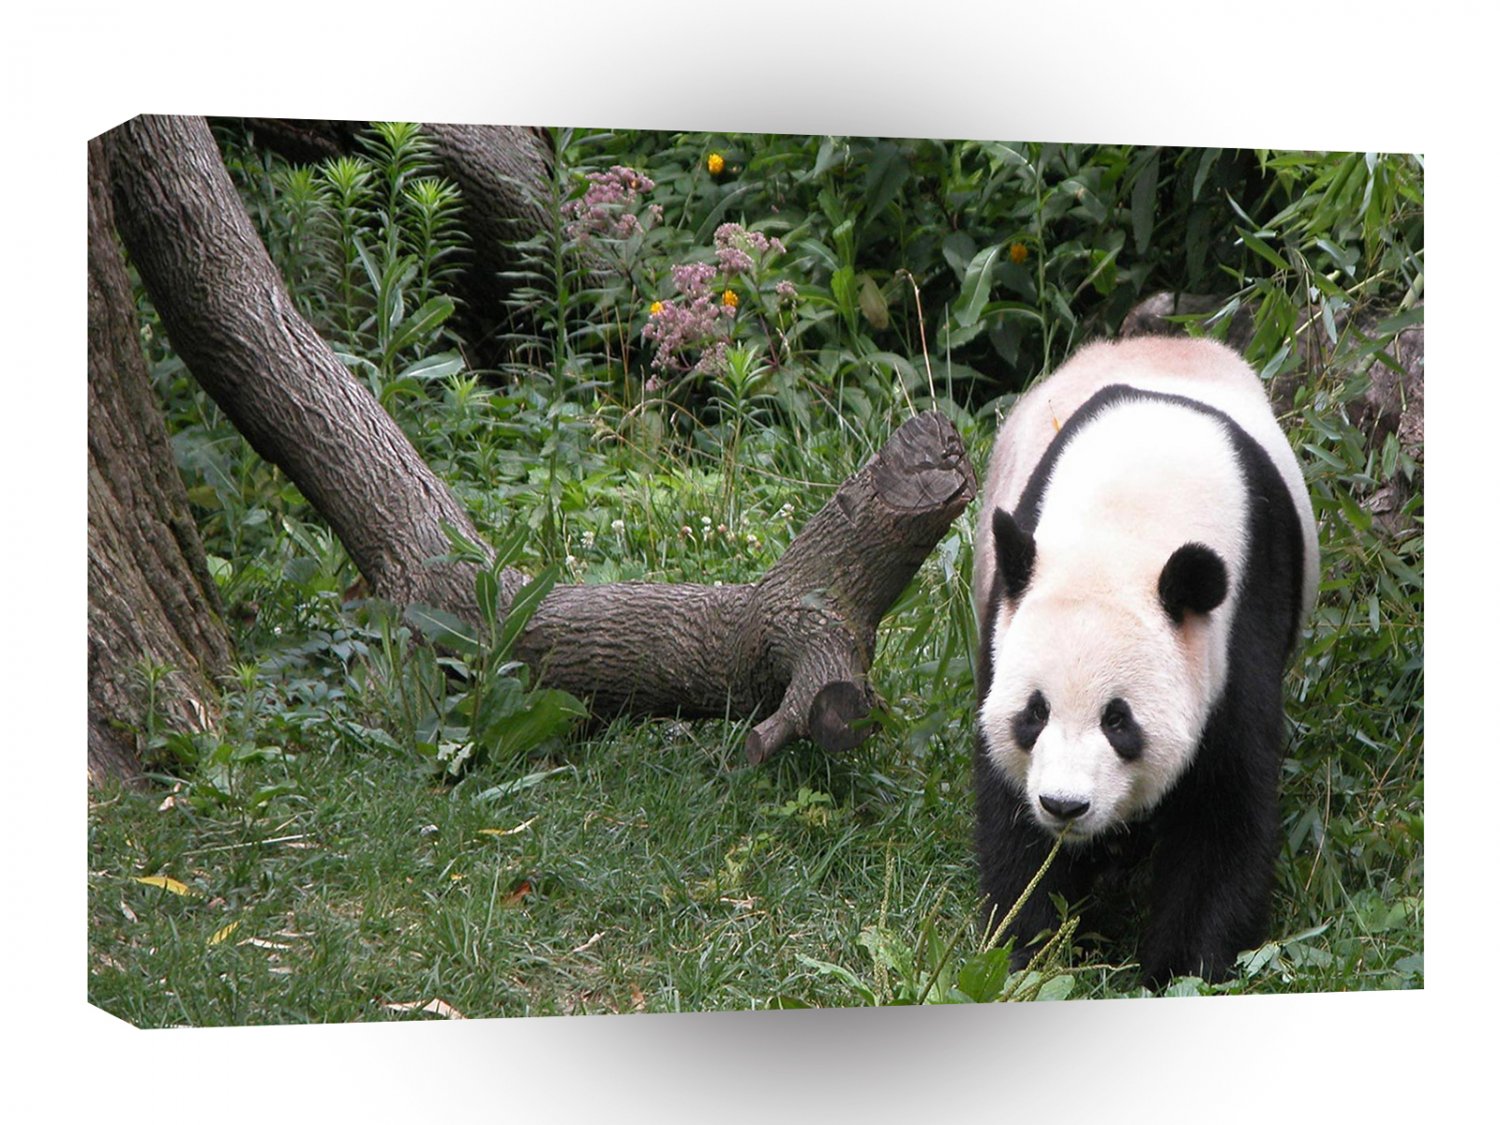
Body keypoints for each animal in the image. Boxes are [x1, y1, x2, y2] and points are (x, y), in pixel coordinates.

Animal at [972, 335, 1318, 988]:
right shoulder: (1006, 620)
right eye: (1035, 713)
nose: (1064, 805)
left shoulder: (1240, 622)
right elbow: (1009, 809)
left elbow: (1223, 809)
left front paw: (1181, 970)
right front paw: (1029, 949)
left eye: (1118, 720)